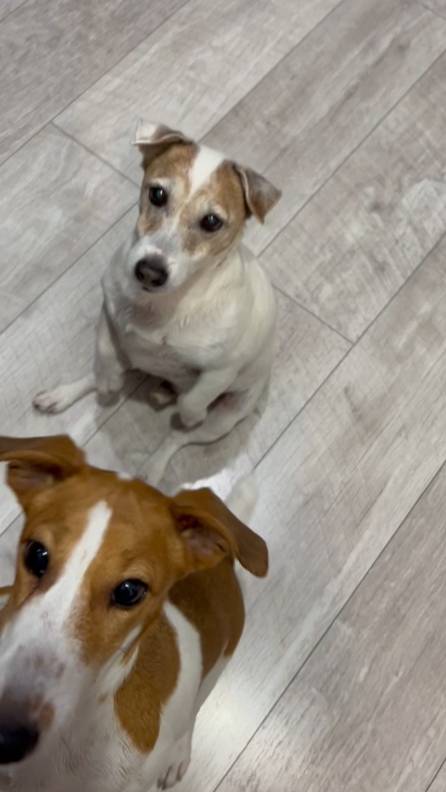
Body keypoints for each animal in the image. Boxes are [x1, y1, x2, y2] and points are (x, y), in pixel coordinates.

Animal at [0, 434, 267, 792]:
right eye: (36, 554)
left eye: (129, 591)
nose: (5, 737)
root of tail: (223, 561)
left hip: (214, 671)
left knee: (193, 712)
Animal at [33, 122, 281, 483]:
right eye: (157, 194)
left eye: (212, 221)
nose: (149, 272)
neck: (162, 307)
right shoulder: (109, 315)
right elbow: (104, 356)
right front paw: (108, 380)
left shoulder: (221, 371)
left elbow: (194, 400)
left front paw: (188, 410)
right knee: (101, 374)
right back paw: (64, 394)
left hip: (225, 418)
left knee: (177, 439)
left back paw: (153, 466)